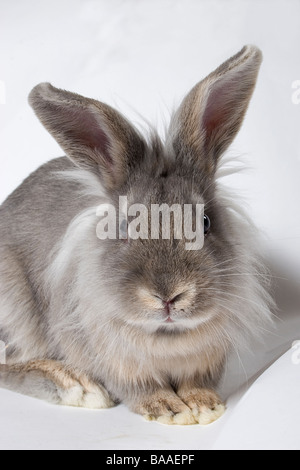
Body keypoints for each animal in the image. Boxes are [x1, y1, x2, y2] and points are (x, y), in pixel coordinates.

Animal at [0, 46, 274, 426]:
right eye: (125, 227)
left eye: (204, 222)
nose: (169, 296)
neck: (167, 337)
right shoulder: (115, 363)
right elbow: (140, 389)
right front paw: (168, 409)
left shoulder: (207, 360)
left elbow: (196, 382)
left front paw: (203, 405)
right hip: (14, 308)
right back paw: (76, 386)